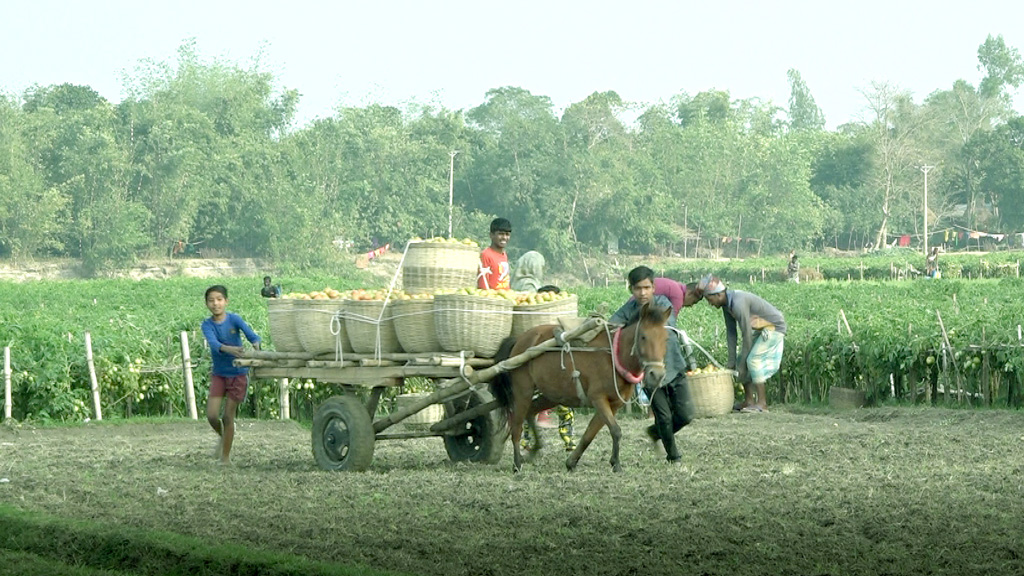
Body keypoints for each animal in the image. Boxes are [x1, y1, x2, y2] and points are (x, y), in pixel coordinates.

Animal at [487, 301, 671, 471]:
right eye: (643, 337)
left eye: (665, 338)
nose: (657, 375)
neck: (614, 356)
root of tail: (519, 339)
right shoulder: (598, 398)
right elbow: (616, 430)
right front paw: (616, 464)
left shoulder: (613, 404)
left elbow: (590, 434)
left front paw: (572, 462)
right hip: (522, 391)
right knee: (516, 427)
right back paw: (517, 464)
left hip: (552, 394)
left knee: (531, 412)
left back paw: (535, 449)